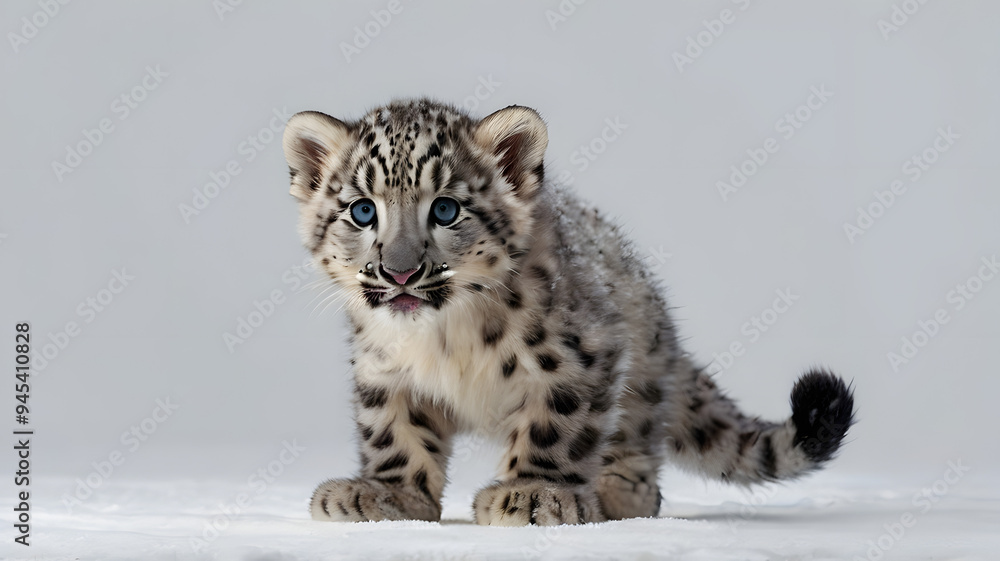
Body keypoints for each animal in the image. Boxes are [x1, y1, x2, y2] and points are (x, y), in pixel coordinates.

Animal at [280, 98, 855, 526]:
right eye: (362, 210)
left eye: (445, 208)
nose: (399, 273)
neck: (443, 337)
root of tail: (668, 336)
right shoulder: (381, 369)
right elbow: (395, 431)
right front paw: (389, 494)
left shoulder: (581, 353)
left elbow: (556, 425)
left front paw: (533, 493)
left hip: (640, 382)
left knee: (640, 449)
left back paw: (619, 492)